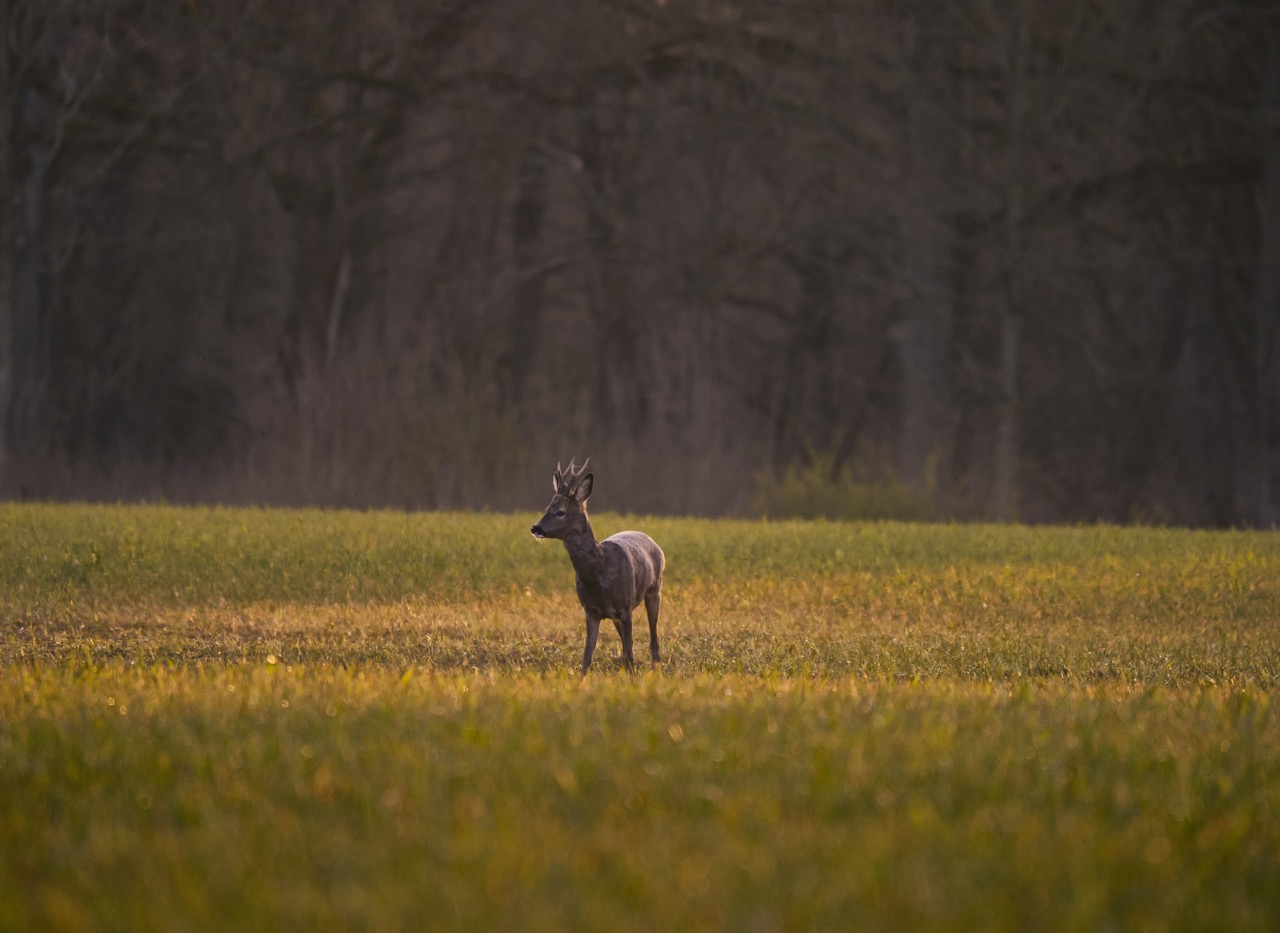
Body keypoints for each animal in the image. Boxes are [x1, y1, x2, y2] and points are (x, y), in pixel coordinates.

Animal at [532, 460, 670, 675]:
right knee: (626, 646)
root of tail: (652, 541)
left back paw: (655, 671)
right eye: (547, 508)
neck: (600, 573)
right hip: (616, 615)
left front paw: (634, 679)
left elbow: (629, 652)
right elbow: (587, 657)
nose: (535, 528)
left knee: (653, 640)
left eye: (560, 511)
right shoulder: (591, 610)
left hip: (655, 590)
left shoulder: (625, 607)